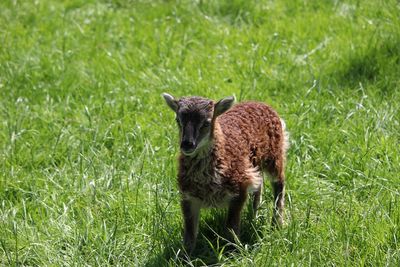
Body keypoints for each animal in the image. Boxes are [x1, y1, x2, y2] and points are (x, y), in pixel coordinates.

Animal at [161, 93, 290, 253]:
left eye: (207, 122)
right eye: (178, 120)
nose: (187, 144)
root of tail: (260, 103)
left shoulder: (239, 188)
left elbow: (231, 227)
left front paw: (234, 251)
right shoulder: (188, 196)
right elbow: (190, 234)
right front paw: (185, 255)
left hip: (275, 155)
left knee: (279, 184)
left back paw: (277, 223)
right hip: (255, 164)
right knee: (259, 186)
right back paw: (253, 216)